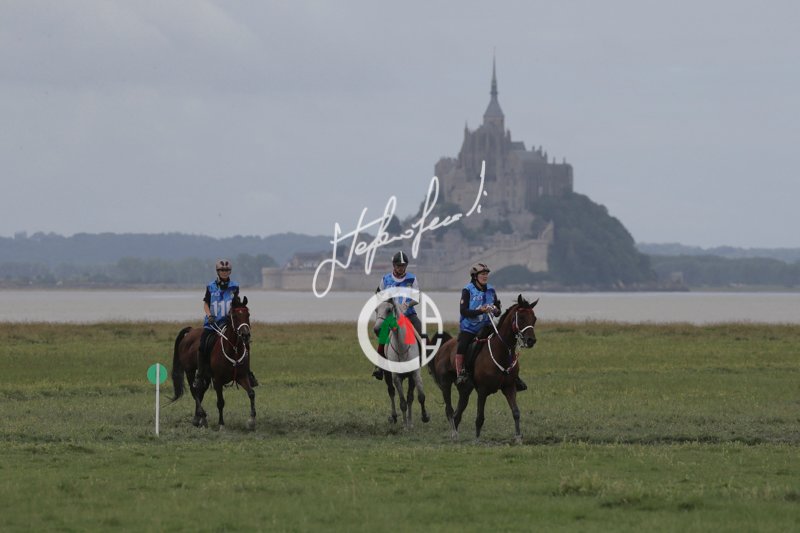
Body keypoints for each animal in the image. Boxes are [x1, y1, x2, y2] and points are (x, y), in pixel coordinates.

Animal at [170, 295, 256, 430]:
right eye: (235, 315)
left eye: (248, 314)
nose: (245, 335)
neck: (233, 349)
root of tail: (190, 332)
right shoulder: (217, 380)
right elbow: (220, 402)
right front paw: (221, 424)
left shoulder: (242, 376)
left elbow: (251, 393)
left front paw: (251, 421)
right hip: (190, 371)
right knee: (194, 391)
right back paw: (202, 415)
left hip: (205, 376)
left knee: (200, 392)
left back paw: (198, 419)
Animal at [375, 299, 430, 428]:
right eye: (376, 310)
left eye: (389, 310)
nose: (377, 330)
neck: (401, 347)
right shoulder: (396, 377)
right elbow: (403, 401)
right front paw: (405, 425)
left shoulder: (414, 374)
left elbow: (417, 397)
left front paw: (422, 418)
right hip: (388, 374)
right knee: (391, 391)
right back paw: (394, 417)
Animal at [429, 294, 538, 443]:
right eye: (521, 317)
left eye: (534, 318)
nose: (531, 340)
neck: (501, 352)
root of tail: (444, 346)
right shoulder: (482, 390)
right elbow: (480, 417)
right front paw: (477, 440)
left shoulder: (509, 387)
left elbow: (516, 412)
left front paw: (518, 438)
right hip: (446, 384)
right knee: (449, 410)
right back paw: (454, 433)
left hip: (465, 389)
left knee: (458, 411)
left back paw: (455, 432)